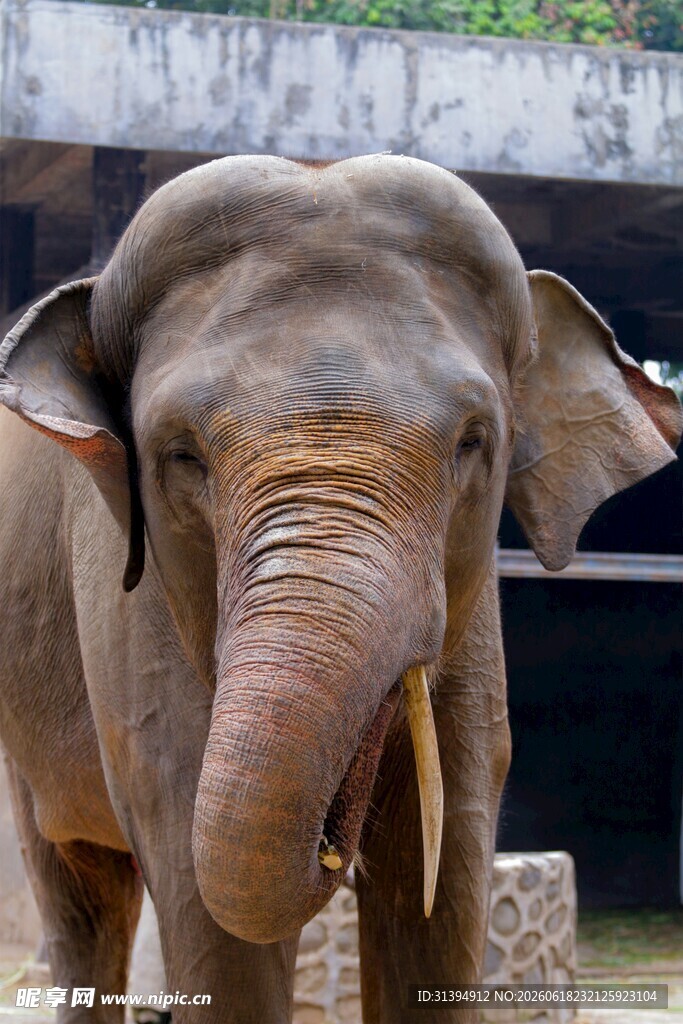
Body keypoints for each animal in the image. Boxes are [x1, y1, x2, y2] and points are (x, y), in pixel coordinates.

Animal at [0, 154, 680, 1024]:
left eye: (473, 443)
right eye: (180, 455)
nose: (330, 845)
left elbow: (445, 856)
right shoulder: (127, 611)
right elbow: (200, 877)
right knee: (81, 893)